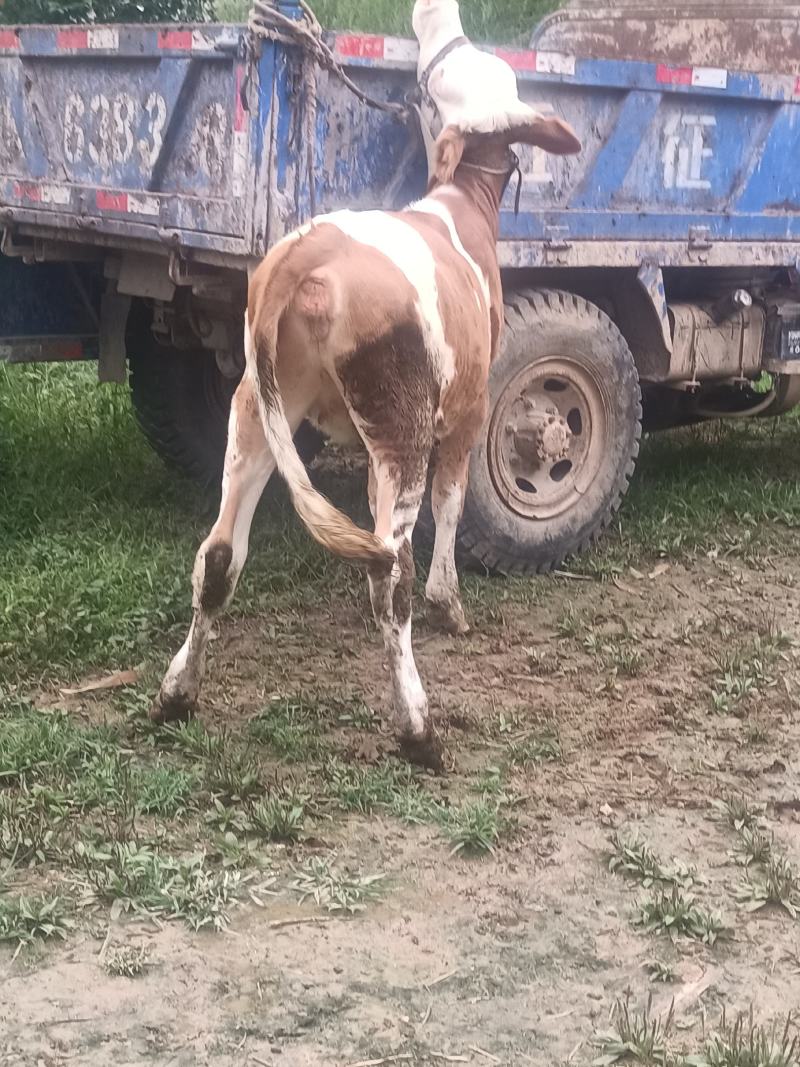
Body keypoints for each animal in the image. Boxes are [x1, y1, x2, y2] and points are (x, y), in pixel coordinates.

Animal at [150, 2, 580, 768]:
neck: (459, 203)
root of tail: (305, 253)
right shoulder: (468, 407)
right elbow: (451, 501)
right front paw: (450, 604)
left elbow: (376, 510)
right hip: (401, 418)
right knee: (391, 569)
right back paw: (417, 727)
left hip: (258, 410)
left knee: (221, 553)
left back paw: (177, 695)